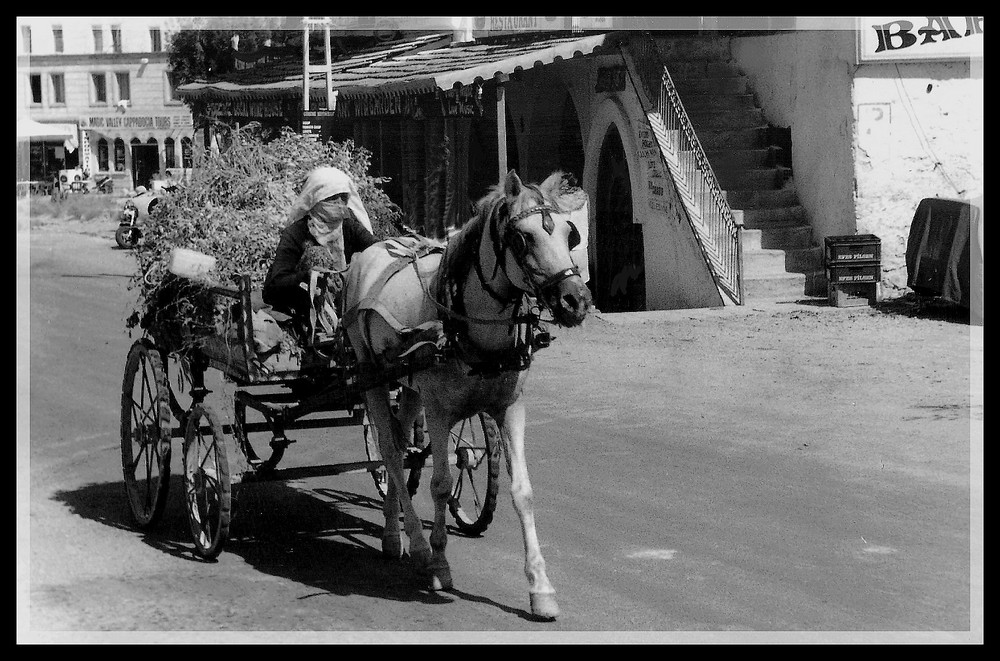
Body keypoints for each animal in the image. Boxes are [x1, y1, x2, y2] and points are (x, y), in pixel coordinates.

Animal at [344, 170, 592, 620]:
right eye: (522, 238)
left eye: (570, 233)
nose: (576, 301)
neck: (469, 323)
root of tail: (369, 252)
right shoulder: (440, 412)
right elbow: (441, 485)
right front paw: (440, 564)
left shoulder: (509, 408)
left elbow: (523, 492)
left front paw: (540, 587)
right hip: (371, 375)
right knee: (389, 453)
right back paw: (415, 545)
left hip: (409, 385)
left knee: (401, 444)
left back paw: (391, 533)